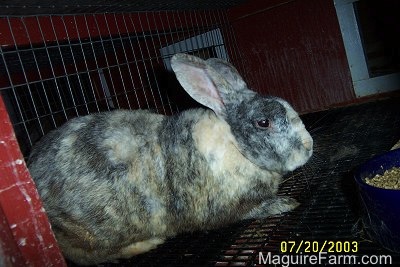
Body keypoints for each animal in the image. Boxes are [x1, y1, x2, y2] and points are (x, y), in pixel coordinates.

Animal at [28, 52, 312, 266]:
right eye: (263, 123)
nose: (309, 147)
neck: (235, 144)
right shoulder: (228, 208)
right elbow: (252, 210)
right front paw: (285, 204)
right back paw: (148, 243)